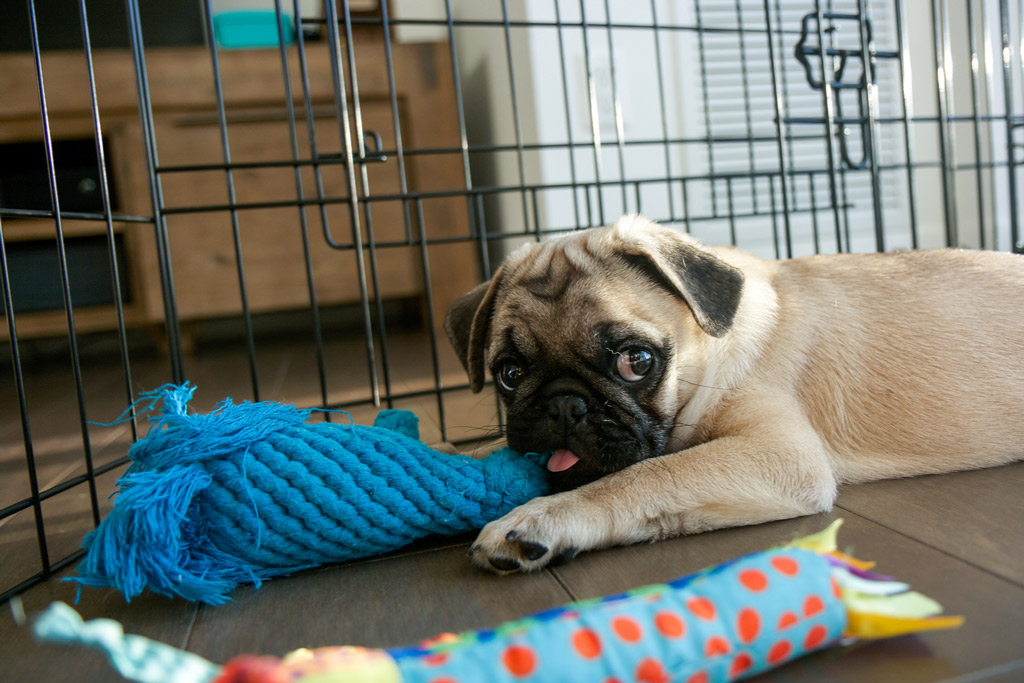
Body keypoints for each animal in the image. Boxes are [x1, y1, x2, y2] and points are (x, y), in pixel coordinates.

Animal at [444, 214, 1024, 573]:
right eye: (509, 374)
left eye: (636, 361)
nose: (566, 404)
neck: (706, 358)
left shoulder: (780, 454)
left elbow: (645, 476)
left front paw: (542, 516)